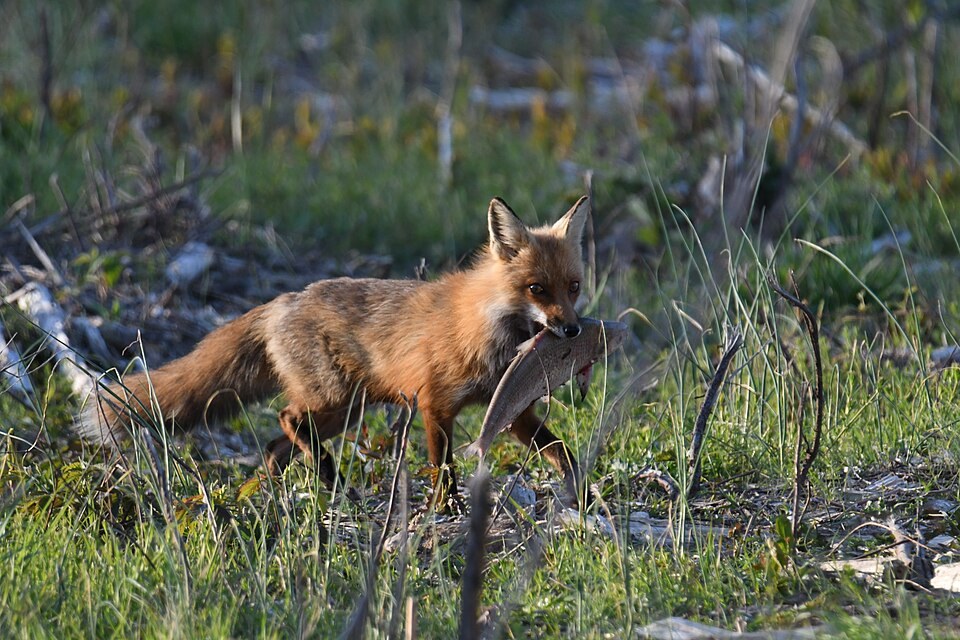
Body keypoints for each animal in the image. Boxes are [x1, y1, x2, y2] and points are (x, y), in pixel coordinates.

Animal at [78, 195, 591, 504]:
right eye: (536, 288)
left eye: (574, 287)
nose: (572, 330)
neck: (490, 327)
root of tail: (281, 301)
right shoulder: (434, 404)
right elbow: (443, 470)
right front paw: (448, 511)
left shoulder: (512, 409)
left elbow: (562, 452)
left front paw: (584, 495)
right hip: (336, 401)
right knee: (286, 419)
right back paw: (332, 482)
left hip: (345, 410)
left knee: (275, 445)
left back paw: (275, 492)